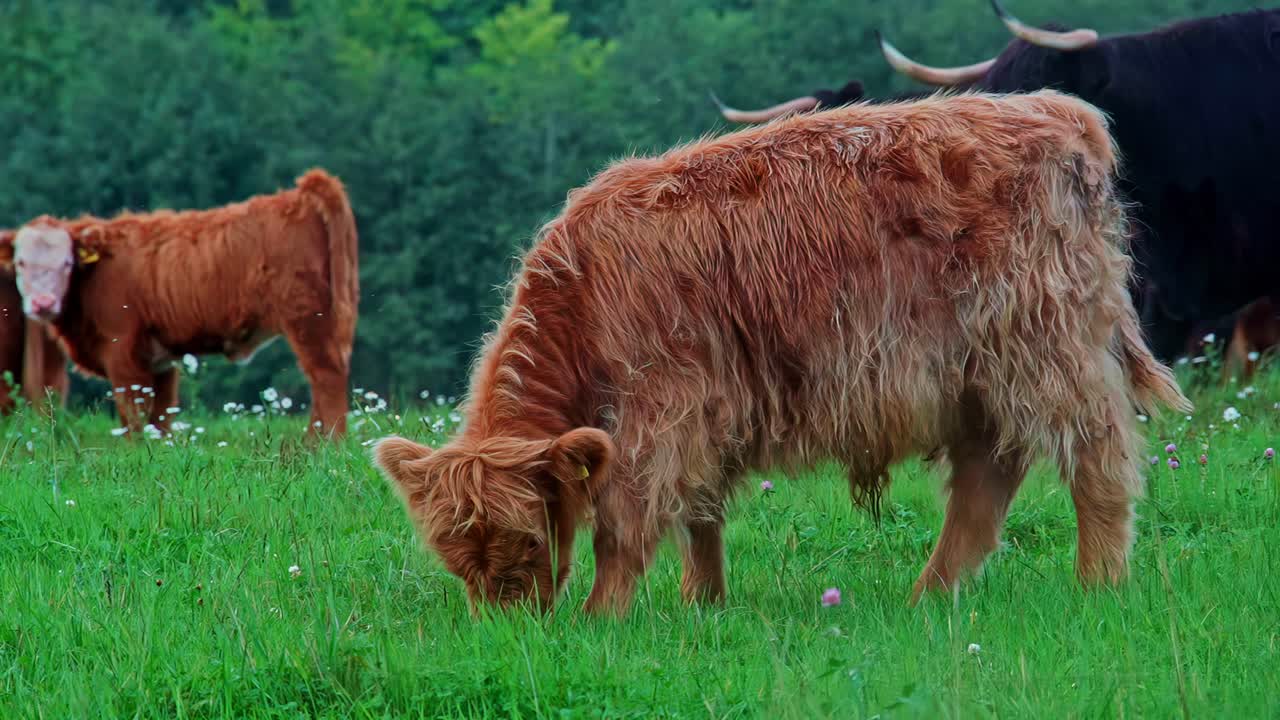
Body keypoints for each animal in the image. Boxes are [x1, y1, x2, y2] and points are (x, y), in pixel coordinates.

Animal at [372, 92, 1189, 616]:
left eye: (520, 535)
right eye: (455, 551)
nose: (506, 621)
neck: (583, 288)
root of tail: (1065, 116)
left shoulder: (664, 405)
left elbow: (625, 520)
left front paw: (600, 617)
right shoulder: (703, 411)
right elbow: (701, 514)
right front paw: (702, 604)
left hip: (1047, 341)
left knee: (1097, 456)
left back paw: (1097, 586)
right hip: (977, 374)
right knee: (986, 480)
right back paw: (928, 598)